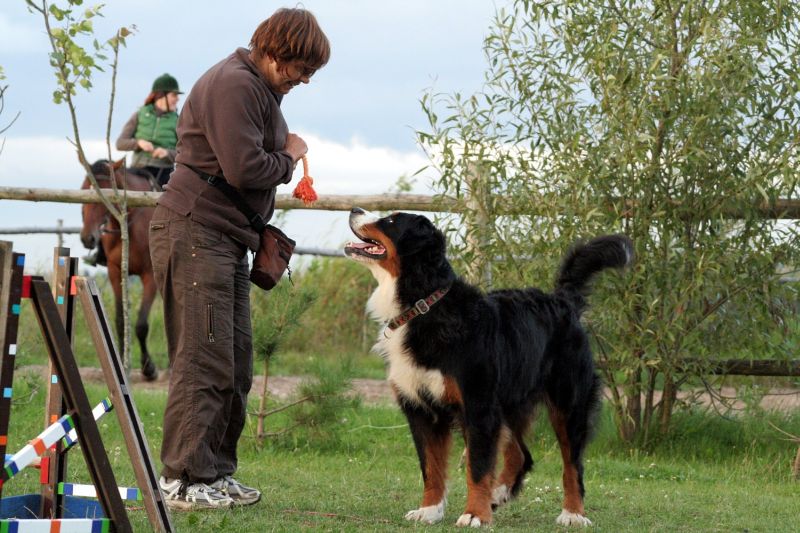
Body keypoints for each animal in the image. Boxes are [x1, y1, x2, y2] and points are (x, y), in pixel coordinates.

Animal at [80, 159, 159, 381]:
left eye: (105, 193)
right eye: (83, 190)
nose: (87, 238)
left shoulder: (150, 276)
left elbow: (141, 324)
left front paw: (149, 368)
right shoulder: (116, 272)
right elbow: (119, 320)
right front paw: (123, 363)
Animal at [344, 207, 633, 528]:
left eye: (392, 220)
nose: (355, 209)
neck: (423, 305)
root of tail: (562, 301)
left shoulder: (478, 406)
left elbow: (478, 467)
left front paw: (474, 514)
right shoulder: (422, 408)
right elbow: (431, 468)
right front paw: (429, 510)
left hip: (568, 404)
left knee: (572, 464)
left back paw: (573, 513)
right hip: (510, 403)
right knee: (521, 454)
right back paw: (499, 494)